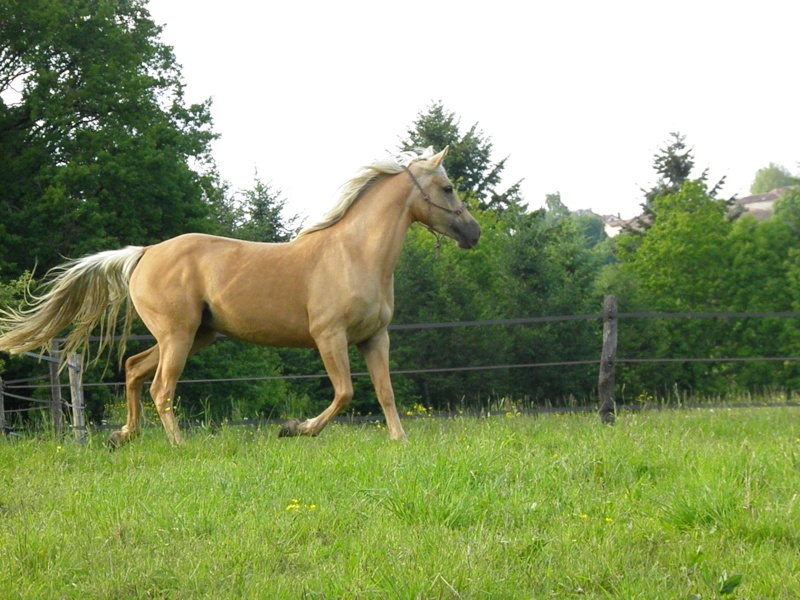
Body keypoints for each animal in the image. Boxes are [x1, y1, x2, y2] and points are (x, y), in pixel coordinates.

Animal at [0, 145, 482, 446]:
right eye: (447, 187)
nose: (473, 232)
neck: (355, 253)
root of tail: (144, 253)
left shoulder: (373, 338)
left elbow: (385, 393)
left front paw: (400, 441)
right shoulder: (330, 337)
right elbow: (344, 393)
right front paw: (295, 429)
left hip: (195, 336)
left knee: (134, 369)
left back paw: (124, 436)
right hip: (178, 336)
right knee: (160, 388)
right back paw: (179, 446)